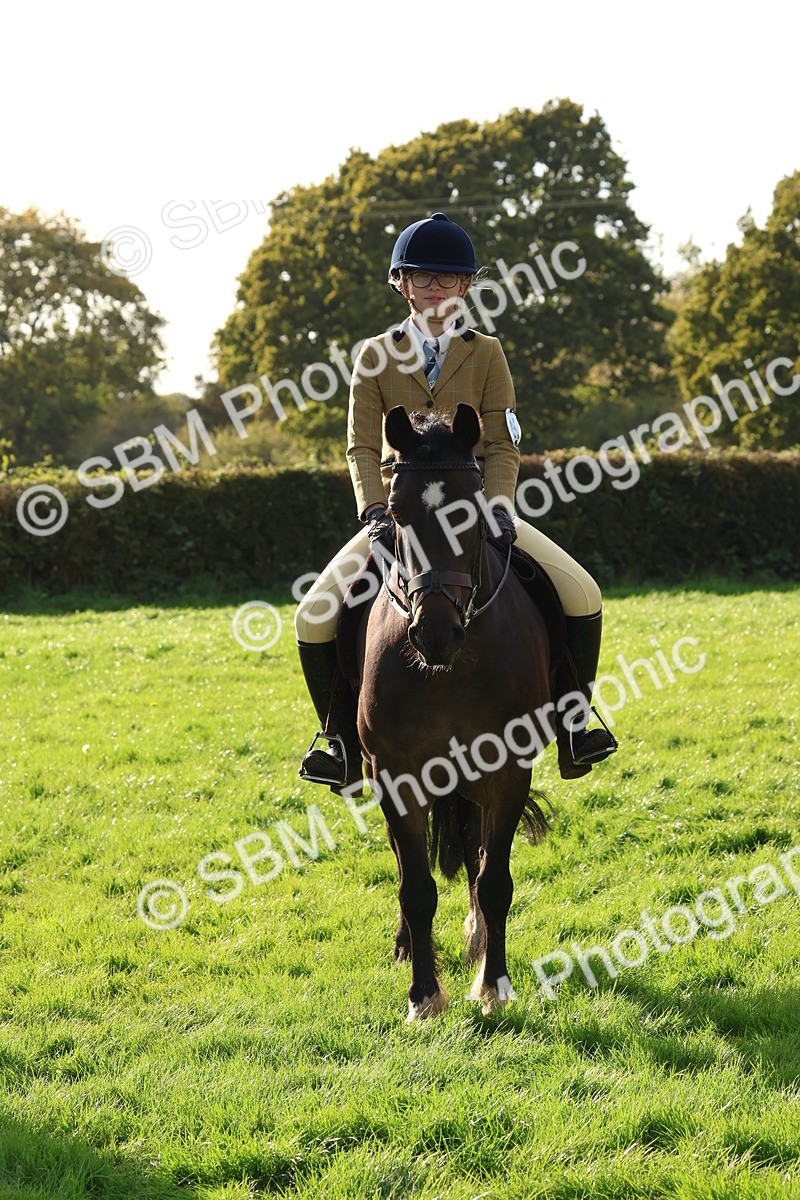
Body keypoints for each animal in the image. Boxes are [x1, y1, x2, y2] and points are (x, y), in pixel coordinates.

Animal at [355, 403, 555, 1022]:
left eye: (470, 510)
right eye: (397, 512)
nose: (435, 633)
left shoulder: (509, 770)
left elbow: (494, 881)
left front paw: (493, 985)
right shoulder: (396, 775)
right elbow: (416, 886)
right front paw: (423, 995)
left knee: (474, 854)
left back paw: (475, 940)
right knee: (408, 862)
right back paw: (408, 946)